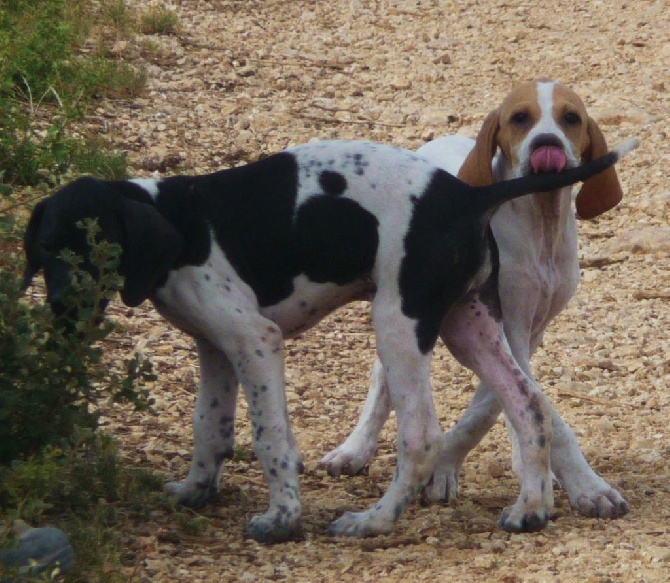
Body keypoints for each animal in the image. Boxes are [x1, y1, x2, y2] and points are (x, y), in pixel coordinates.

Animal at [22, 137, 640, 544]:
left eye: (95, 247)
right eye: (47, 249)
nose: (62, 315)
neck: (170, 219)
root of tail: (463, 196)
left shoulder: (256, 341)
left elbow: (270, 438)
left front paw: (280, 520)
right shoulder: (216, 349)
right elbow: (210, 430)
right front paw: (196, 491)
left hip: (399, 324)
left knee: (421, 437)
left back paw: (375, 520)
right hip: (468, 325)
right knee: (526, 402)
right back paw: (530, 509)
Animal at [322, 81, 632, 524]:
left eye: (571, 118)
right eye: (519, 118)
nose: (547, 144)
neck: (540, 226)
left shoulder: (525, 332)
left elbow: (499, 403)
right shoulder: (508, 327)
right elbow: (531, 409)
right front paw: (588, 486)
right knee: (382, 378)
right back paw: (354, 448)